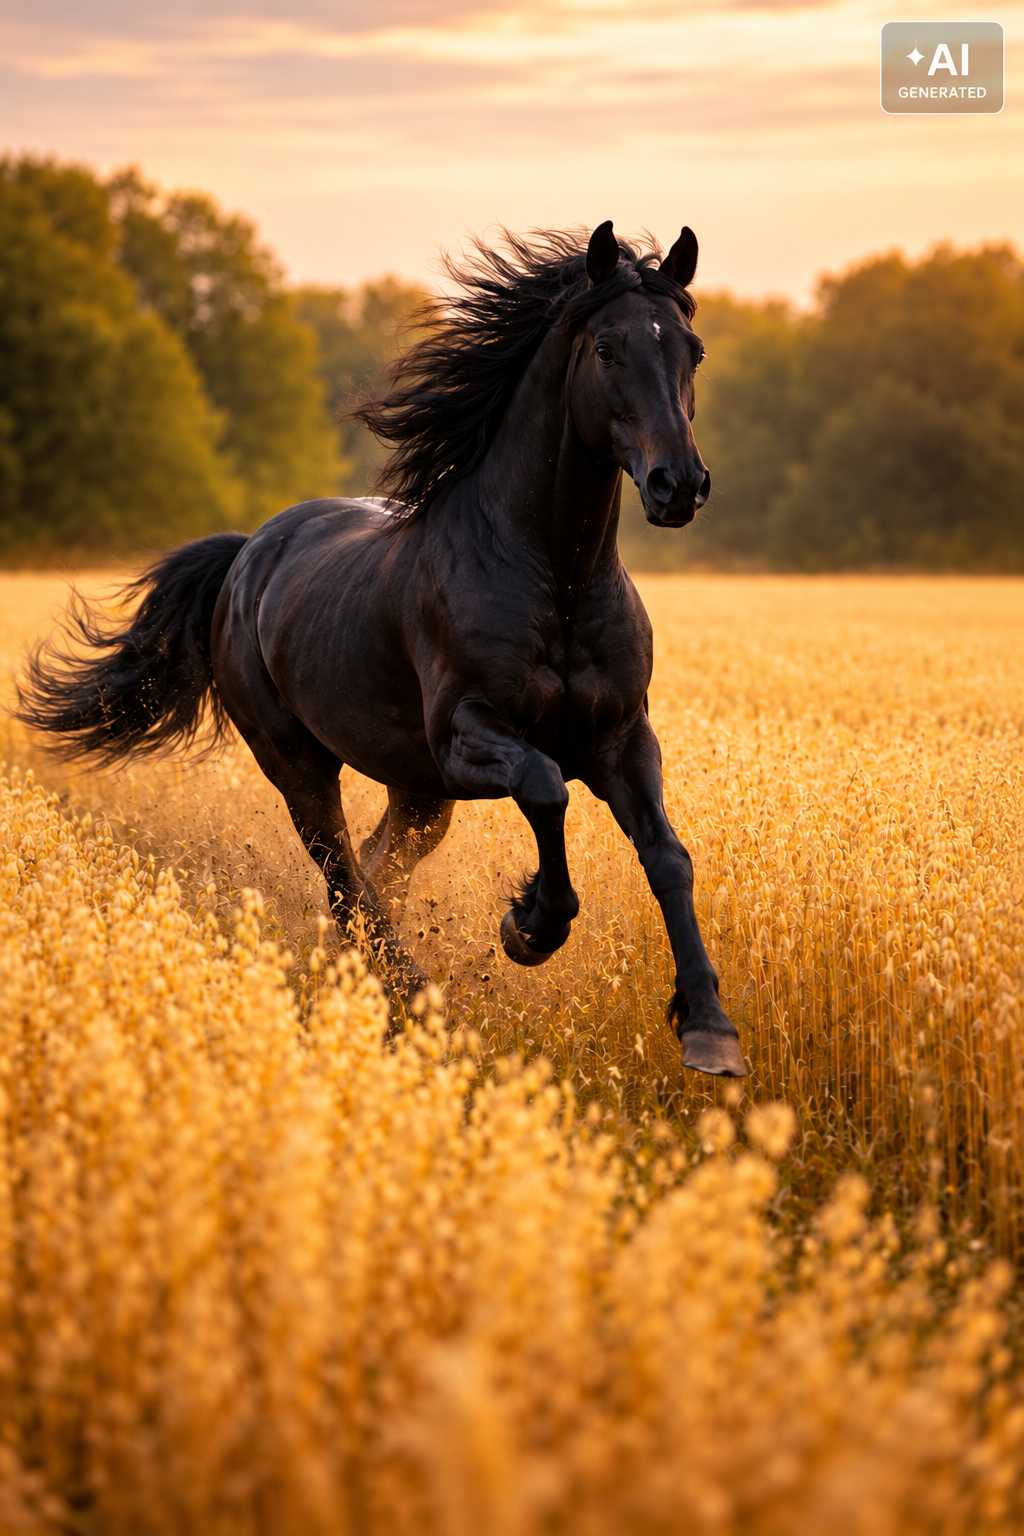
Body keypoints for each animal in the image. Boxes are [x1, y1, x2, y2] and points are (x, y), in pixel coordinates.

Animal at [17, 219, 747, 1078]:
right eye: (606, 347)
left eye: (692, 349)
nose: (678, 485)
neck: (556, 577)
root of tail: (247, 554)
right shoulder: (469, 735)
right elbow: (545, 790)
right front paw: (529, 927)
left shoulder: (623, 739)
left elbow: (668, 856)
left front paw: (709, 1029)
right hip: (300, 764)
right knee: (344, 876)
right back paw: (409, 994)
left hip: (418, 792)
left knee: (373, 864)